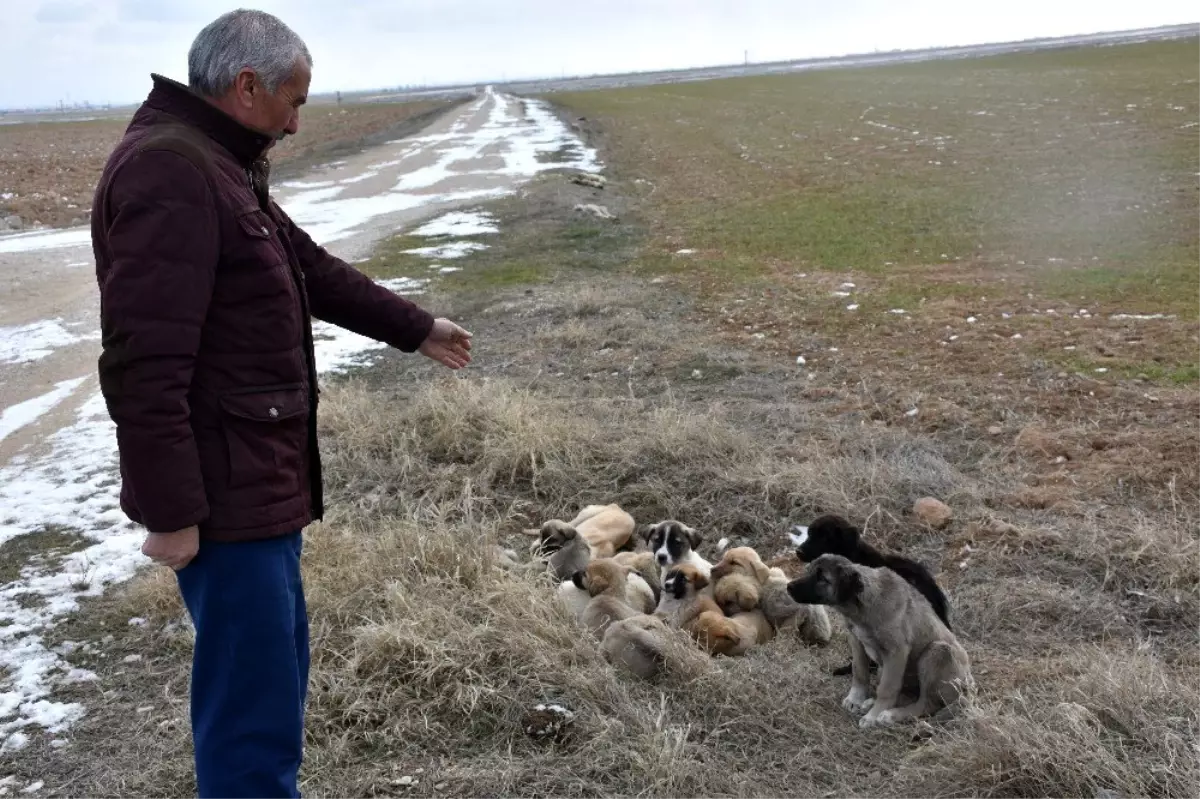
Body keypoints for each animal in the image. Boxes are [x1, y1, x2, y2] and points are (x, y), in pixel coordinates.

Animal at [787, 551, 974, 724]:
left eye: (822, 578)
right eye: (809, 571)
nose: (788, 586)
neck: (861, 608)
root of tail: (969, 686)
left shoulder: (897, 651)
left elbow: (887, 688)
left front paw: (873, 716)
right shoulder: (856, 640)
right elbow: (859, 671)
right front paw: (856, 699)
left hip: (937, 651)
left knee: (926, 703)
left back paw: (891, 715)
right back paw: (871, 703)